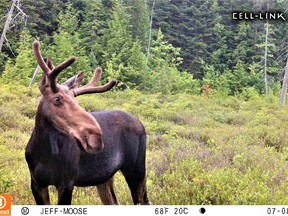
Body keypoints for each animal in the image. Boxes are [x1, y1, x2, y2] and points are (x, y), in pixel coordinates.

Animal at [25, 41, 150, 205]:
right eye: (57, 99)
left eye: (75, 99)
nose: (96, 137)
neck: (43, 152)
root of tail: (141, 124)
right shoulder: (36, 183)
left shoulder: (67, 183)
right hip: (105, 177)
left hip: (136, 169)